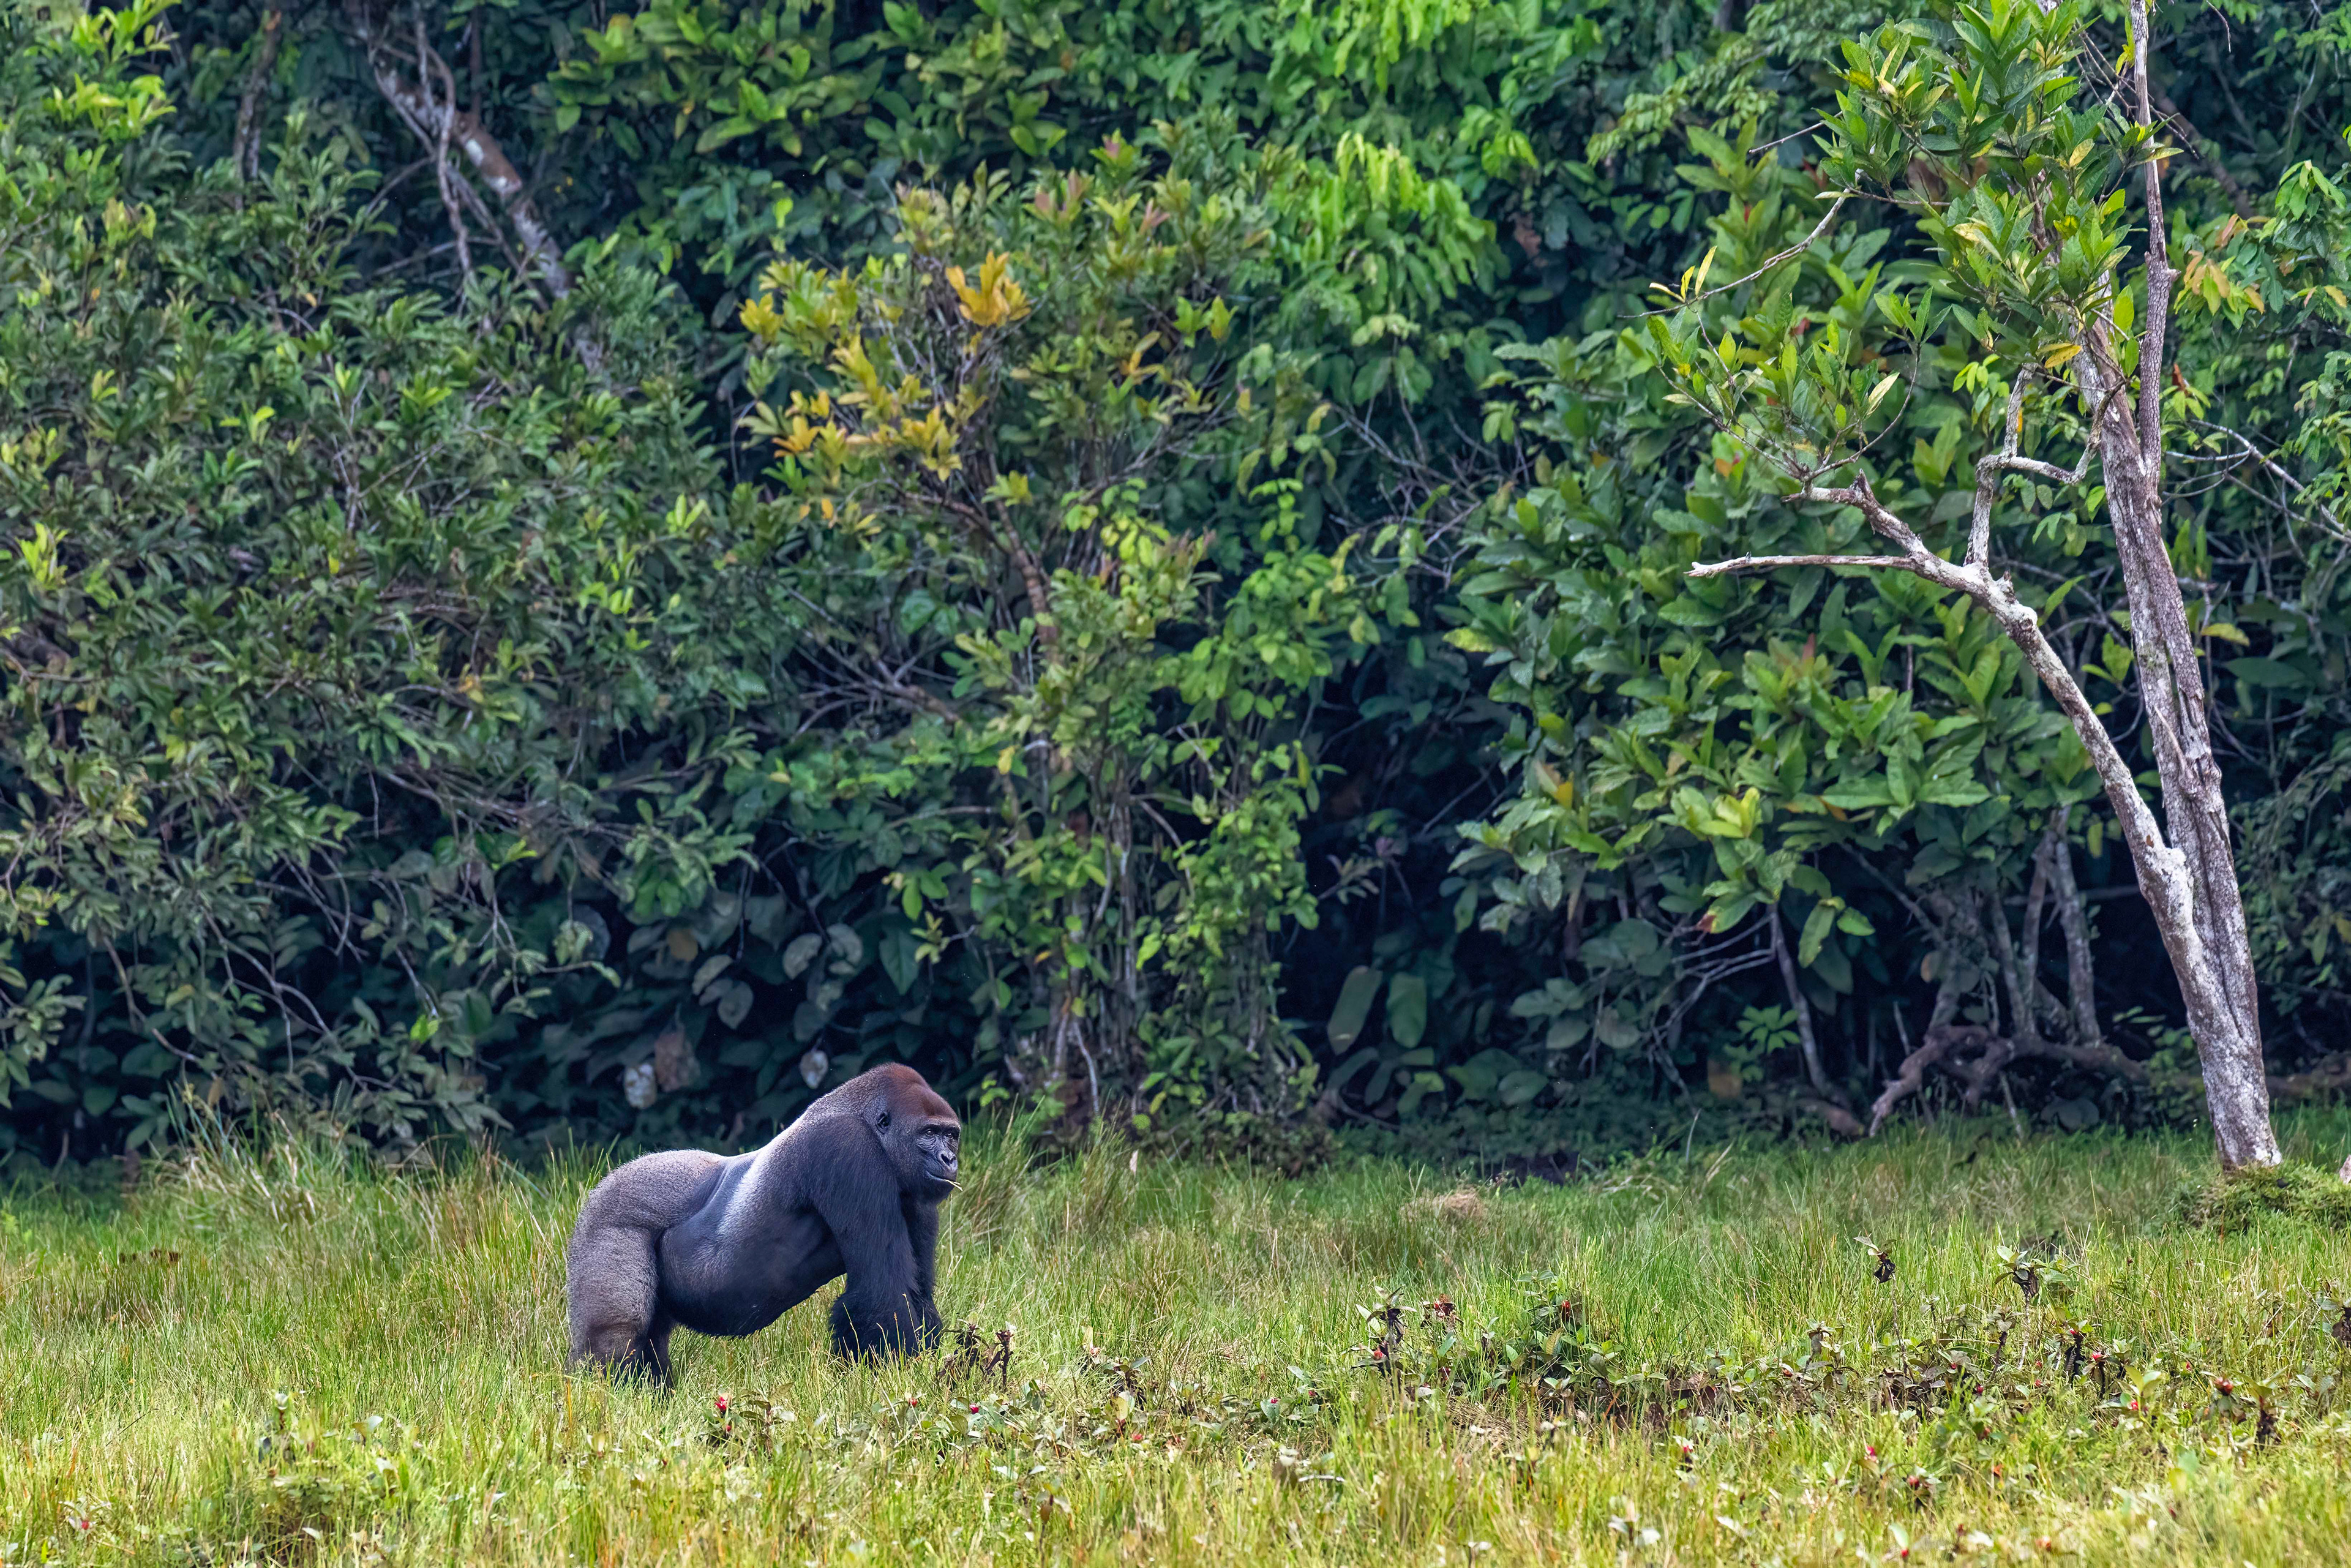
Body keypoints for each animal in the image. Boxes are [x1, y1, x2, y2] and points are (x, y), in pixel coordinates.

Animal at [565, 1062, 959, 1384]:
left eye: (952, 1135)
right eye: (929, 1133)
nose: (949, 1159)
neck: (861, 1116)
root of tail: (602, 1185)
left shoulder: (917, 1193)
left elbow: (915, 1293)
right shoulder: (846, 1147)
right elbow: (883, 1293)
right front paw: (900, 1379)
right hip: (608, 1217)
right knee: (616, 1337)